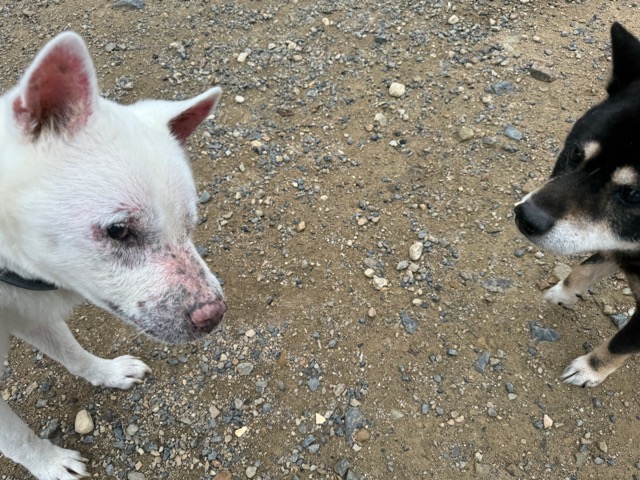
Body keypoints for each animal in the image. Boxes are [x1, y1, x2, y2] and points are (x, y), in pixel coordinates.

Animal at [0, 33, 227, 479]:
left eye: (190, 223)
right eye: (119, 230)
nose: (215, 316)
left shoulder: (28, 307)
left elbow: (70, 351)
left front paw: (107, 372)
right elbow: (14, 436)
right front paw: (49, 464)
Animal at [515, 22, 640, 388]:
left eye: (632, 193)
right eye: (575, 153)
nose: (526, 217)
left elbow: (622, 342)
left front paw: (589, 368)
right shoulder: (620, 243)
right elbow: (585, 266)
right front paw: (562, 291)